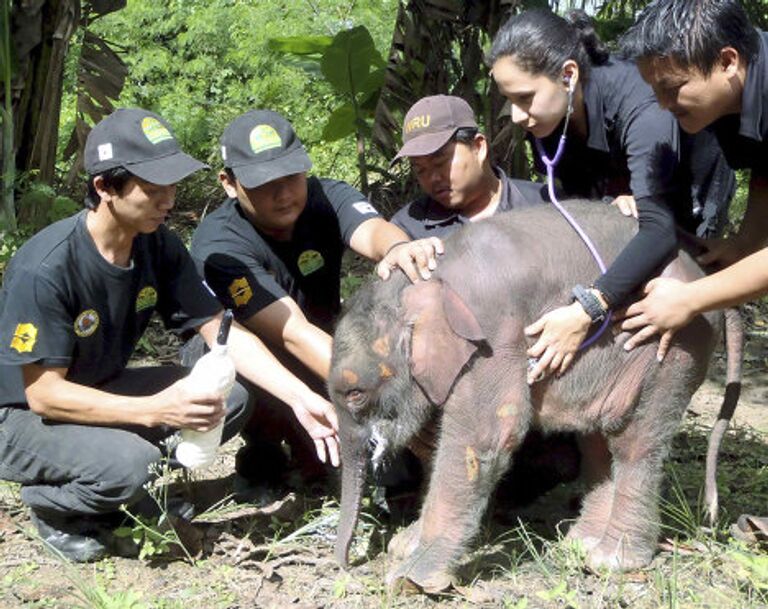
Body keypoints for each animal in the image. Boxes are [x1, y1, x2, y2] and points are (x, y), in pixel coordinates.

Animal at [332, 202, 736, 592]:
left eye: (355, 395)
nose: (348, 567)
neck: (428, 282)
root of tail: (704, 273)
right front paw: (405, 545)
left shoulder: (495, 338)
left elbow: (484, 439)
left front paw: (409, 579)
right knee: (597, 439)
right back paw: (581, 544)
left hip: (670, 343)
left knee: (634, 442)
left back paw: (612, 561)